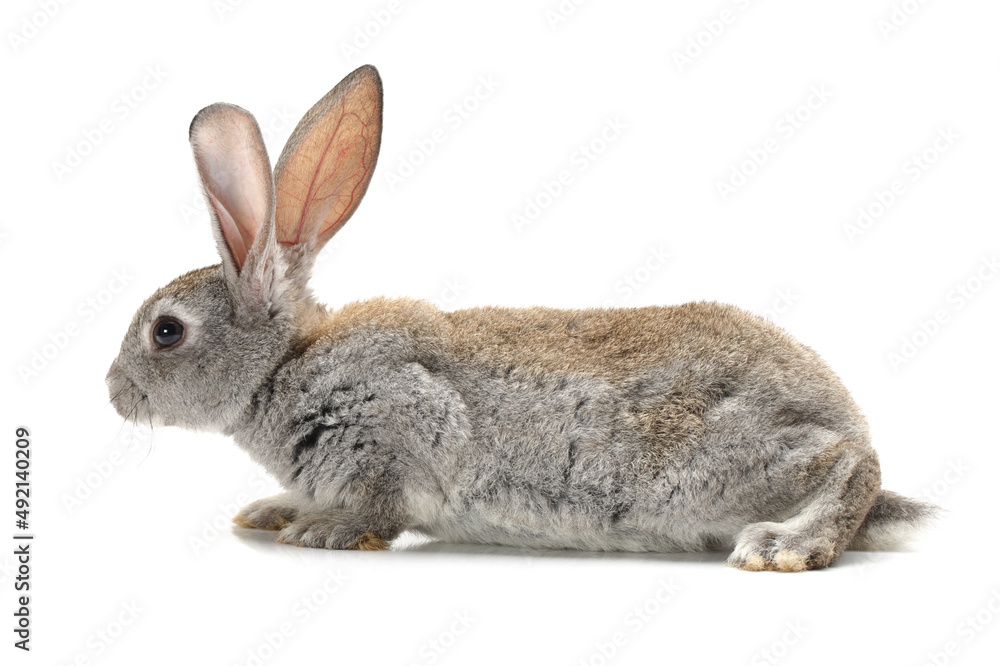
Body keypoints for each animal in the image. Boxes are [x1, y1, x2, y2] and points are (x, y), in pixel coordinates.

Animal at [105, 63, 940, 572]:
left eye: (166, 331)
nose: (112, 392)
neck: (286, 363)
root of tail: (838, 410)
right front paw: (273, 513)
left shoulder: (399, 423)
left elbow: (381, 501)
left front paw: (325, 530)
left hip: (717, 468)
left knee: (852, 464)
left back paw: (786, 545)